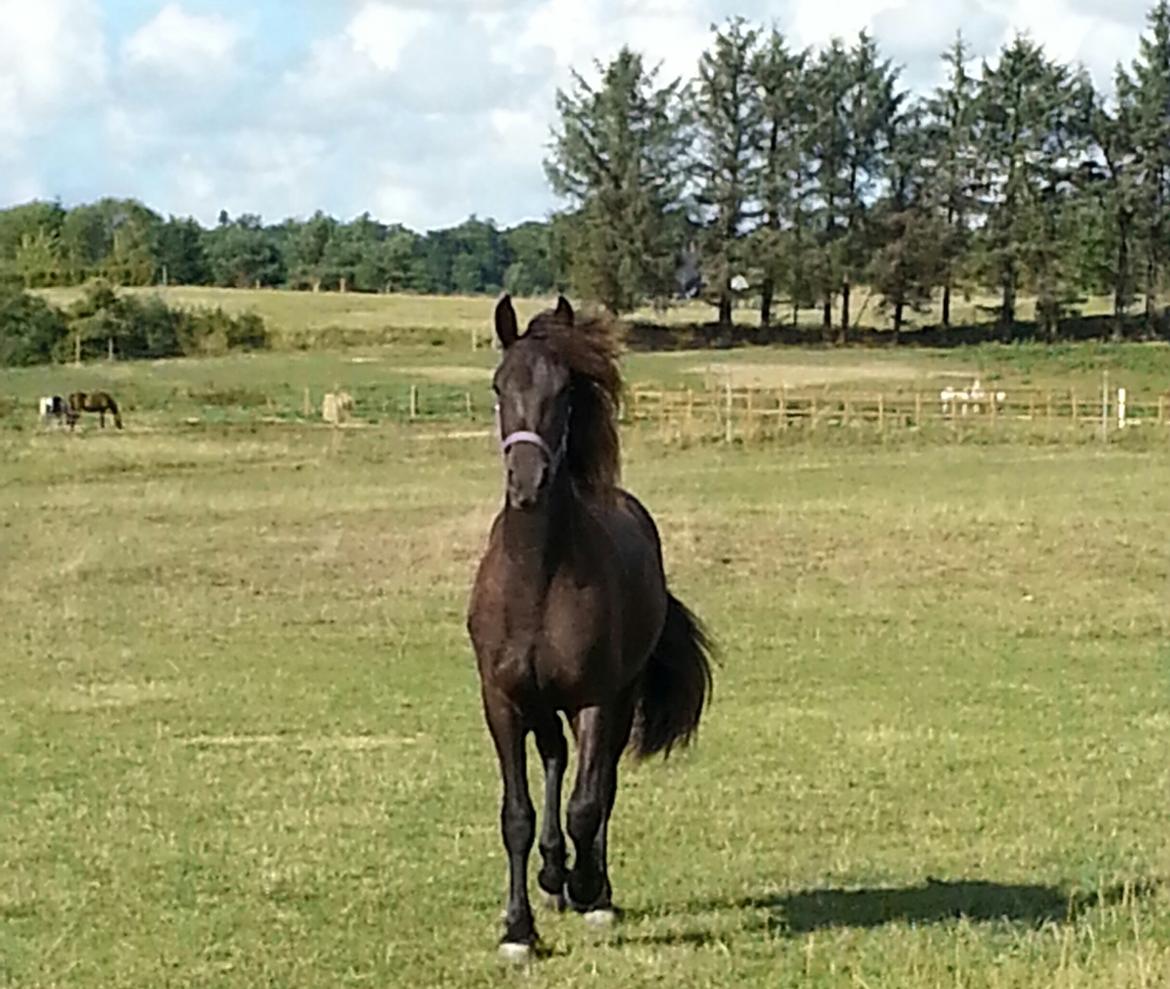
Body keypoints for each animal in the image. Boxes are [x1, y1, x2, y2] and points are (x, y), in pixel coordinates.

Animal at [465, 291, 711, 955]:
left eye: (564, 391)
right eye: (499, 385)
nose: (527, 481)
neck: (538, 579)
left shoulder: (597, 699)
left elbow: (586, 803)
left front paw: (588, 890)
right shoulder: (502, 700)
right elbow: (517, 814)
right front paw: (518, 929)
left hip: (616, 699)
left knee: (601, 787)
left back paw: (588, 885)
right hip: (542, 705)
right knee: (554, 762)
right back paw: (552, 875)